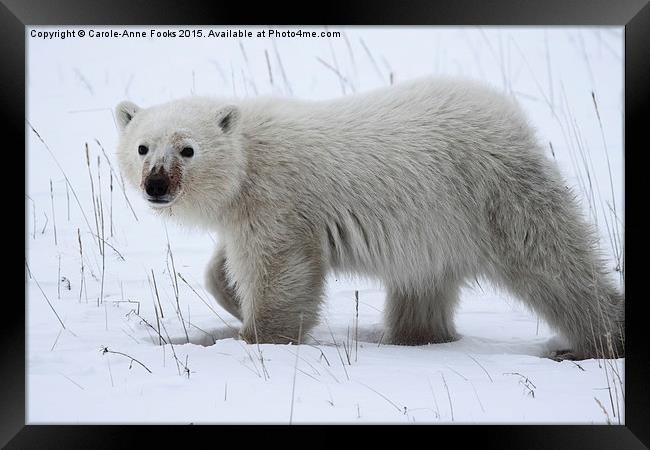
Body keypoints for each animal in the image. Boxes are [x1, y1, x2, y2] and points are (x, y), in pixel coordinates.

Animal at [116, 76, 624, 358]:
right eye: (142, 147)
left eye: (187, 148)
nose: (156, 185)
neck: (249, 152)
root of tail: (511, 117)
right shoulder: (250, 207)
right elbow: (222, 268)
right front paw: (234, 304)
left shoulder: (280, 194)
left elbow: (281, 269)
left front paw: (260, 337)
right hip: (438, 227)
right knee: (423, 285)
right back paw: (418, 336)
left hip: (493, 194)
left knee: (554, 263)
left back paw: (596, 342)